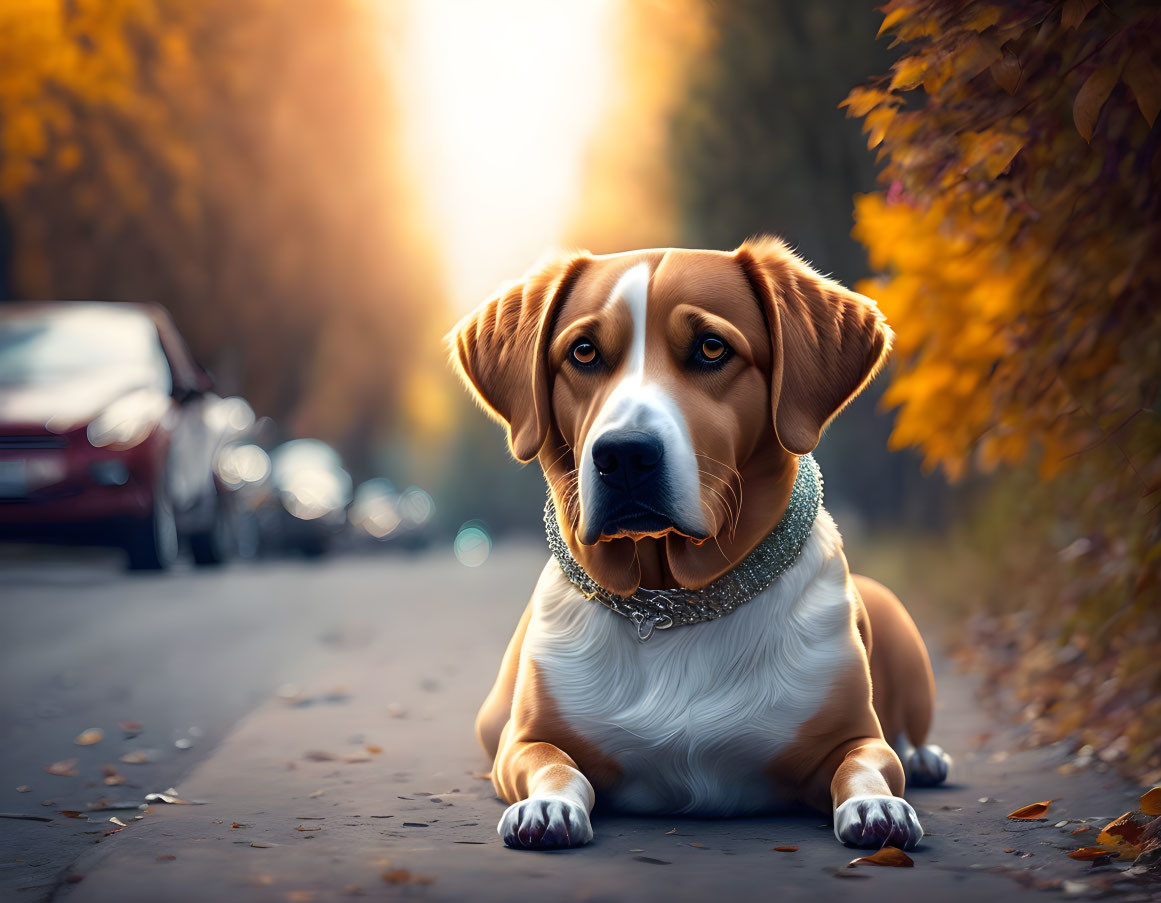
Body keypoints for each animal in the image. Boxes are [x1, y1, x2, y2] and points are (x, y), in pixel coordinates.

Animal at [448, 235, 947, 849]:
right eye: (584, 353)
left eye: (712, 348)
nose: (624, 455)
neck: (672, 602)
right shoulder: (521, 745)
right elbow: (555, 765)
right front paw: (546, 807)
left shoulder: (856, 737)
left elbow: (865, 764)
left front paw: (878, 806)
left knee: (909, 739)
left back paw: (926, 757)